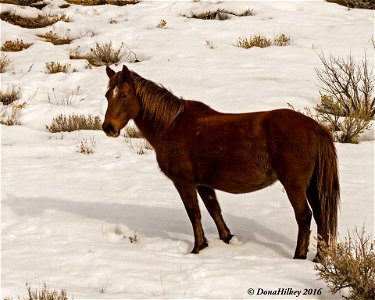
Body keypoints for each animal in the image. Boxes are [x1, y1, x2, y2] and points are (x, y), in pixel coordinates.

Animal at [103, 65, 340, 260]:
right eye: (107, 95)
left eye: (123, 95)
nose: (108, 127)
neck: (171, 125)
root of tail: (314, 127)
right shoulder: (203, 184)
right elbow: (213, 209)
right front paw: (227, 239)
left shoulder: (184, 182)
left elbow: (194, 213)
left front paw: (197, 248)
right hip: (312, 186)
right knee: (321, 217)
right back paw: (319, 258)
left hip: (294, 185)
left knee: (304, 216)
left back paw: (299, 256)